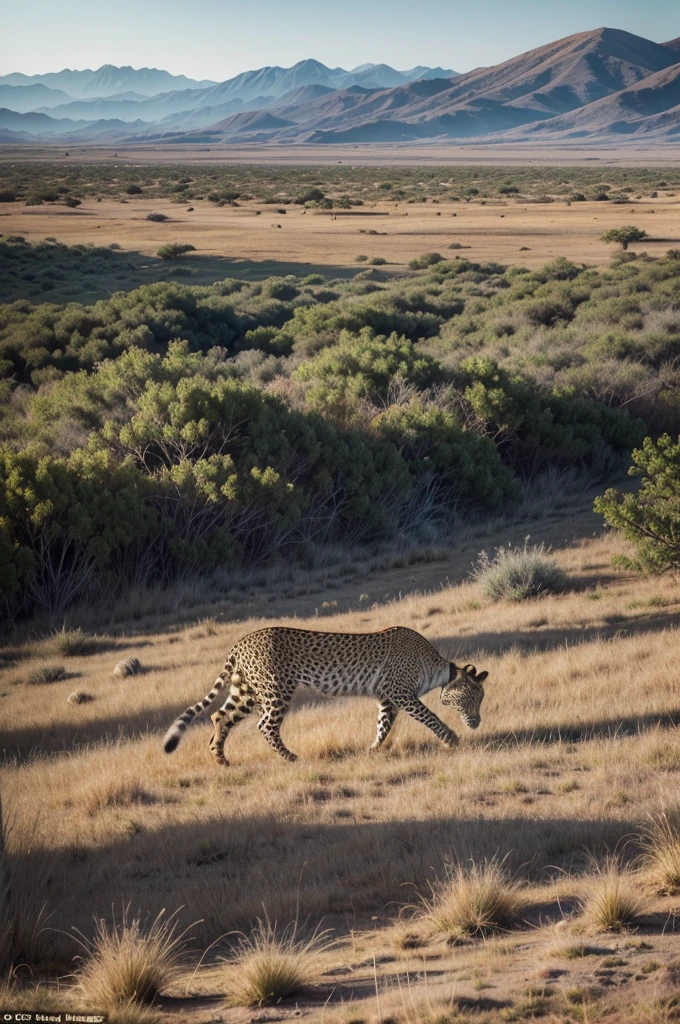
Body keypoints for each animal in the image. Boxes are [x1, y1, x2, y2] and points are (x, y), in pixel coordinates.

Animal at [161, 626, 485, 765]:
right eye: (474, 696)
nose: (478, 721)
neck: (438, 668)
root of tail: (241, 641)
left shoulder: (387, 699)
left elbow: (383, 727)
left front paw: (372, 751)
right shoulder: (400, 694)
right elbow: (429, 717)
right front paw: (451, 739)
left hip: (247, 692)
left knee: (220, 716)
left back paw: (220, 758)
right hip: (277, 691)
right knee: (265, 725)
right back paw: (291, 757)